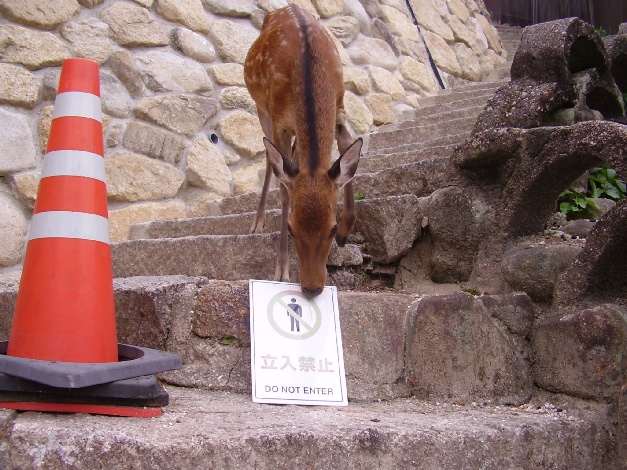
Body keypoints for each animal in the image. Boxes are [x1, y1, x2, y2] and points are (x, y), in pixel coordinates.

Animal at [245, 3, 364, 298]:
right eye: (291, 227)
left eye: (332, 229)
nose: (312, 288)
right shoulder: (278, 119)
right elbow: (284, 190)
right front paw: (281, 270)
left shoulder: (340, 106)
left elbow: (347, 149)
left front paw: (348, 229)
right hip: (261, 108)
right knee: (269, 158)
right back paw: (257, 223)